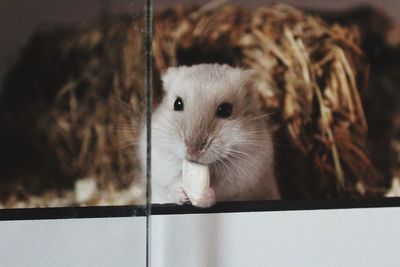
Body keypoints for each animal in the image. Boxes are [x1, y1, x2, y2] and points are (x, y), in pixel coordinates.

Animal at [139, 63, 280, 208]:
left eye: (226, 110)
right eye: (177, 103)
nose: (192, 152)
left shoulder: (246, 173)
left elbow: (222, 189)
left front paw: (202, 197)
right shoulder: (158, 160)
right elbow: (171, 183)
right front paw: (181, 195)